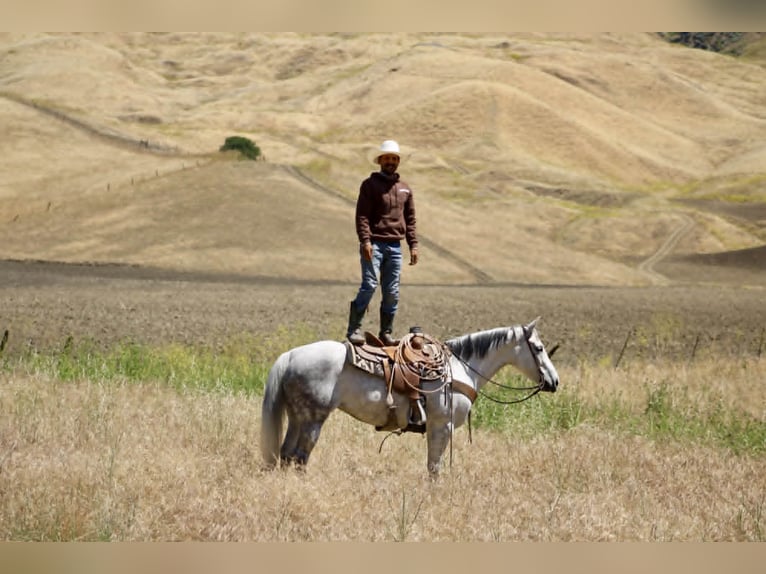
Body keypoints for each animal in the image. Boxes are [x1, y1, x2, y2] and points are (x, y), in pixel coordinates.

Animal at [260, 317, 559, 477]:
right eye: (539, 348)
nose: (554, 382)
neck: (460, 368)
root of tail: (291, 355)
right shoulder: (442, 426)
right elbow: (434, 467)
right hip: (313, 419)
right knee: (300, 456)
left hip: (296, 416)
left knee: (285, 454)